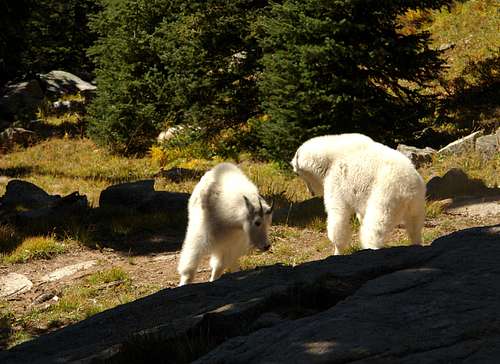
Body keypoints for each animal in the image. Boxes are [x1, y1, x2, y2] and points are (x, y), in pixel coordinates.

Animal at [292, 132, 426, 255]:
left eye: (298, 173)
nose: (310, 192)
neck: (329, 159)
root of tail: (408, 190)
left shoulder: (336, 182)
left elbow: (338, 215)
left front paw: (337, 251)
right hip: (417, 204)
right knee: (415, 227)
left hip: (386, 196)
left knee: (375, 228)